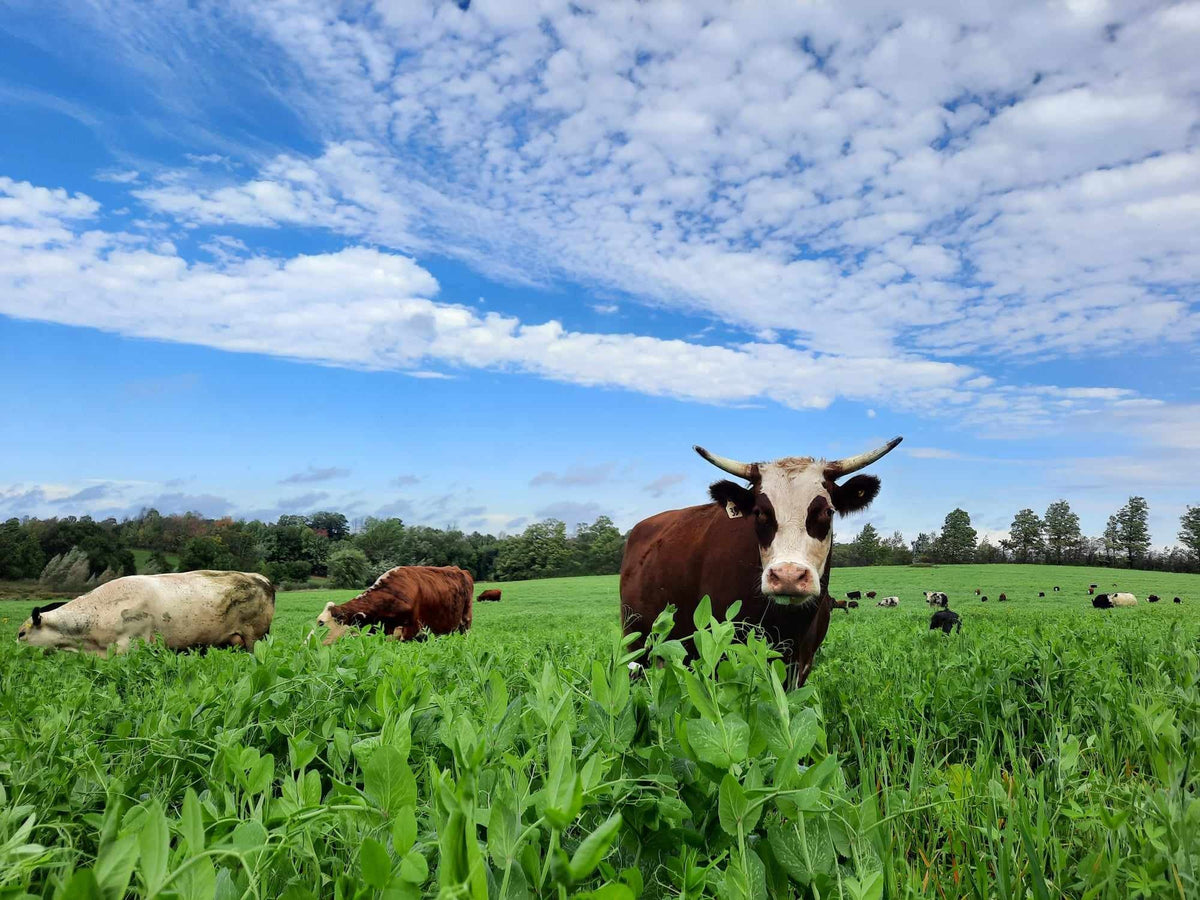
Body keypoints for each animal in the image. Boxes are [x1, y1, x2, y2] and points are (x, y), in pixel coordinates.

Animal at [313, 566, 473, 645]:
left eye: (321, 623)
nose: (312, 645)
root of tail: (460, 569)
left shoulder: (411, 630)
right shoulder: (379, 628)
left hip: (466, 621)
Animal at [619, 437, 902, 690]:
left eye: (827, 511)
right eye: (760, 513)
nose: (788, 576)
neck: (787, 624)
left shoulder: (801, 665)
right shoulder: (721, 655)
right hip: (637, 644)